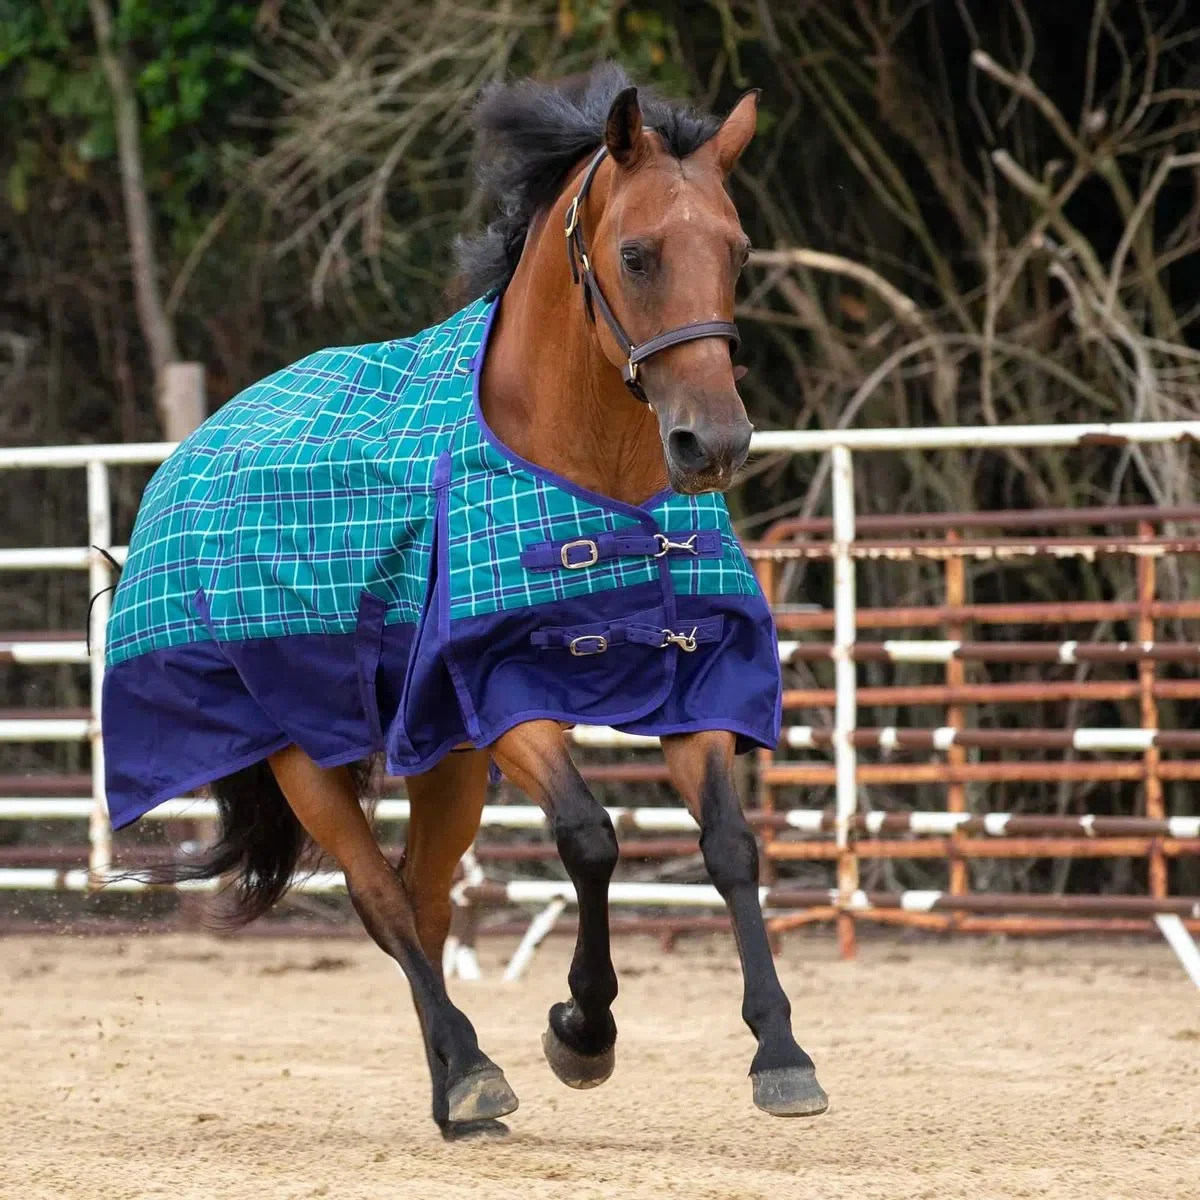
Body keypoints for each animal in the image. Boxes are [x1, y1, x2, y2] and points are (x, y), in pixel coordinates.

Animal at [102, 63, 829, 1139]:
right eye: (638, 254)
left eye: (735, 251)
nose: (715, 442)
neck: (589, 480)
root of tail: (191, 455)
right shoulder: (507, 701)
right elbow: (591, 840)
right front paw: (582, 1031)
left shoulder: (691, 682)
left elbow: (731, 849)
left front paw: (781, 1052)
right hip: (304, 756)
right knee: (382, 900)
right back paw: (473, 1069)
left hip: (442, 762)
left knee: (428, 898)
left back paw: (455, 1093)